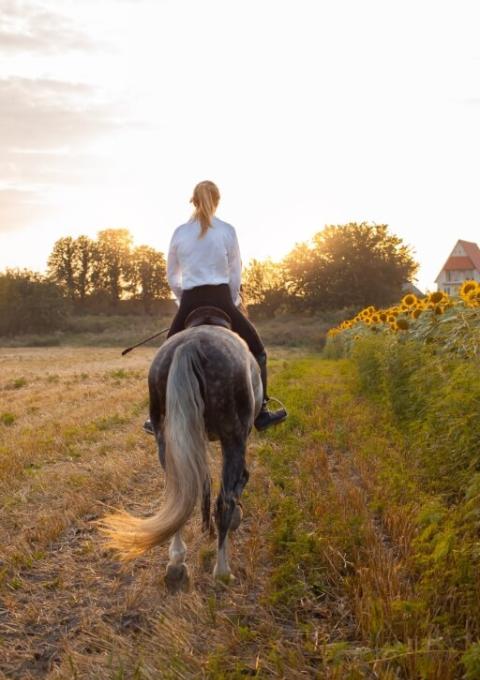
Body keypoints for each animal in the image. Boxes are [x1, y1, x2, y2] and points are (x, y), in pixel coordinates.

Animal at [100, 306, 262, 588]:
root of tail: (190, 346)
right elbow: (235, 484)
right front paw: (235, 517)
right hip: (233, 436)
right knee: (223, 502)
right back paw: (222, 570)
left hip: (167, 438)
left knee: (180, 493)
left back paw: (176, 563)